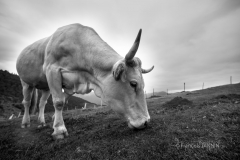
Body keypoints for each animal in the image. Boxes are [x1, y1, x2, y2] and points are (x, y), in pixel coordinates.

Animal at [15, 23, 154, 139]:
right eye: (133, 83)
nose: (146, 122)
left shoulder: (72, 83)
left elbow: (63, 99)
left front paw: (55, 119)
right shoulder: (52, 70)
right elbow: (59, 102)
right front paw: (59, 129)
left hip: (45, 87)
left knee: (42, 103)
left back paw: (42, 121)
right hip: (25, 82)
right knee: (26, 102)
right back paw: (25, 122)